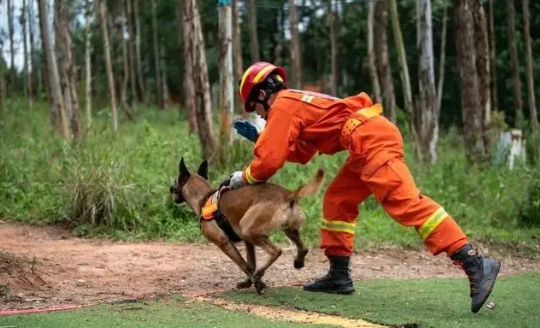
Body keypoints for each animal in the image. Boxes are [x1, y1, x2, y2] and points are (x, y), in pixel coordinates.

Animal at [170, 158, 324, 294]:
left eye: (175, 180)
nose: (170, 188)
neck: (204, 198)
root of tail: (286, 194)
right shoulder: (247, 242)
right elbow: (250, 264)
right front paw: (248, 282)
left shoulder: (224, 242)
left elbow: (244, 265)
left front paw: (257, 283)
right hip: (285, 229)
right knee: (303, 247)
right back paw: (298, 261)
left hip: (248, 229)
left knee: (276, 251)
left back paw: (260, 272)